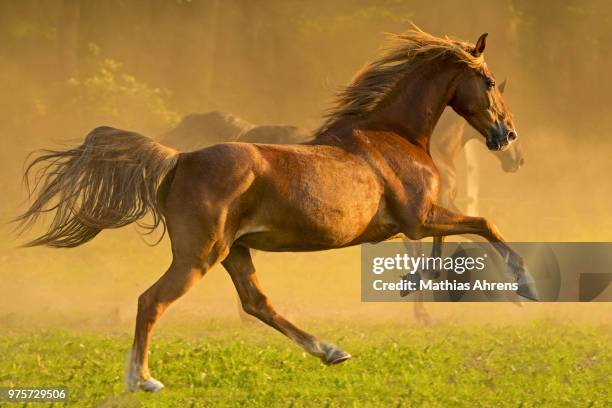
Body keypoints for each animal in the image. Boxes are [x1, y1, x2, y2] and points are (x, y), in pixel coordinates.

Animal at [15, 28, 536, 392]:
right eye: (489, 81)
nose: (508, 138)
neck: (390, 133)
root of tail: (179, 159)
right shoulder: (418, 215)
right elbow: (483, 225)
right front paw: (523, 285)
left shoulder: (418, 219)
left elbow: (455, 237)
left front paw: (421, 286)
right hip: (199, 257)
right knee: (152, 301)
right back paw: (141, 379)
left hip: (234, 252)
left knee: (257, 303)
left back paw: (331, 351)